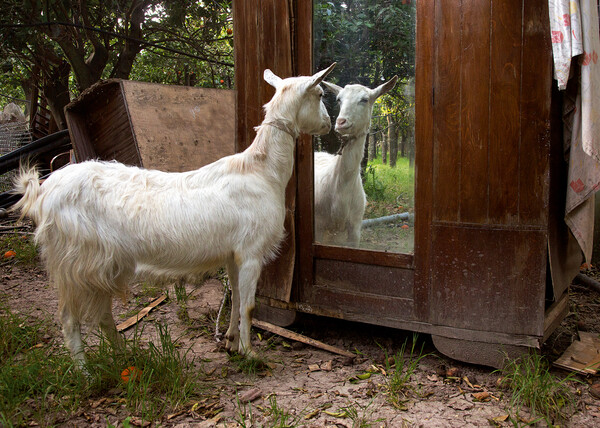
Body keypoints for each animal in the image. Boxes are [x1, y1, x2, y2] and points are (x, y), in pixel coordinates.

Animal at [12, 64, 338, 368]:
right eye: (321, 94)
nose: (328, 125)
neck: (262, 171)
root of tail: (42, 192)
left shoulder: (233, 253)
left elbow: (234, 300)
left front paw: (231, 342)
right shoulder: (251, 251)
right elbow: (248, 306)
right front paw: (251, 354)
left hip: (99, 264)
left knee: (102, 315)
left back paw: (125, 356)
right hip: (73, 262)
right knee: (69, 318)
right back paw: (85, 373)